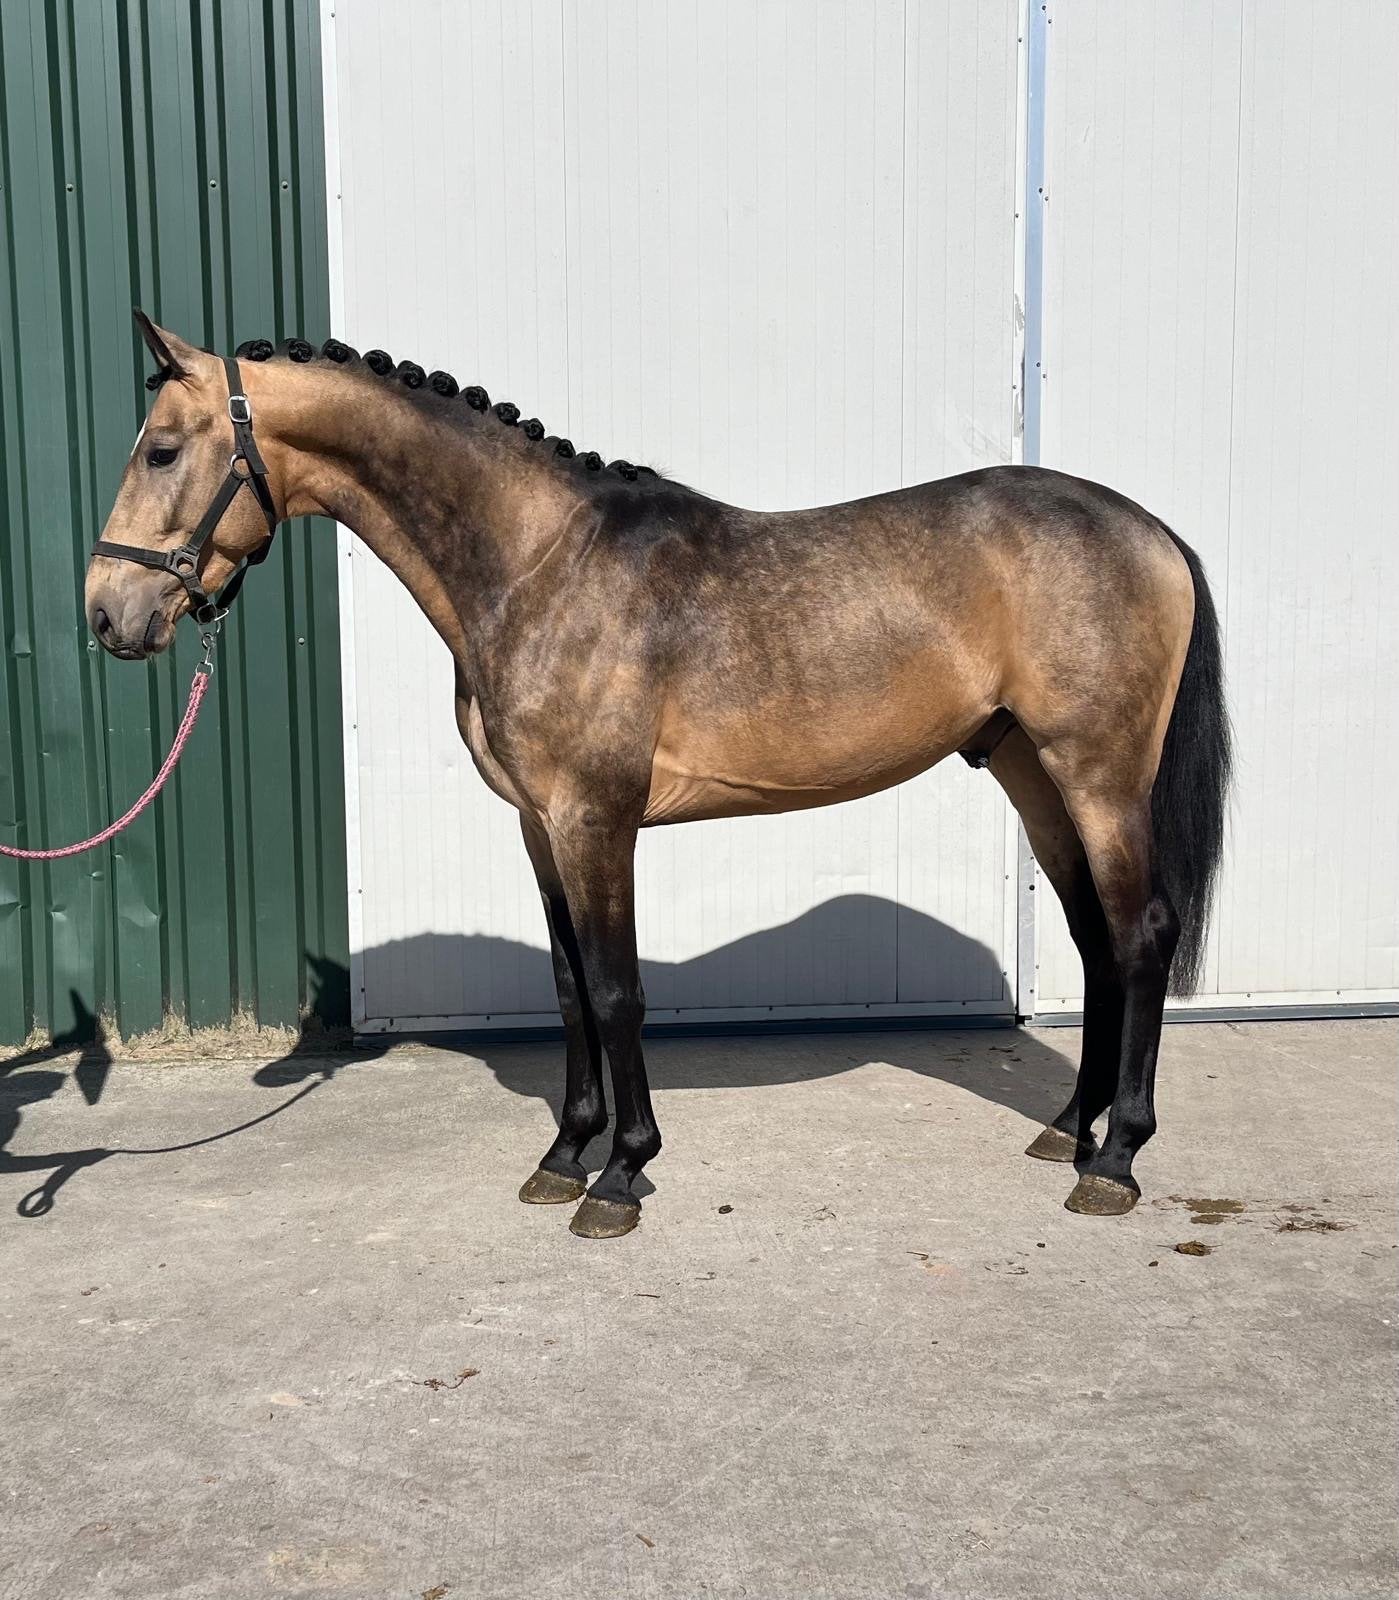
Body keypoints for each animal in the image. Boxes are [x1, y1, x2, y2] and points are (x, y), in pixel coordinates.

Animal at [84, 312, 1230, 1239]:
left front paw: (621, 1175)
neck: (538, 566)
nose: (107, 614)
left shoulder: (596, 817)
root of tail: (1149, 530)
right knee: (1092, 942)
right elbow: (566, 990)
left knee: (1138, 937)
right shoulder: (539, 823)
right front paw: (564, 1154)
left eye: (162, 449)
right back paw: (1067, 1130)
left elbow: (615, 987)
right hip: (1030, 773)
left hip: (1098, 777)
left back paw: (1115, 1160)